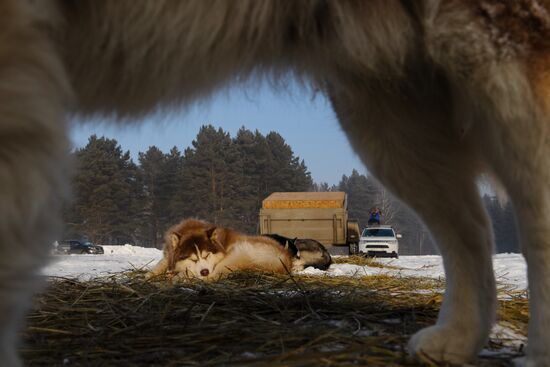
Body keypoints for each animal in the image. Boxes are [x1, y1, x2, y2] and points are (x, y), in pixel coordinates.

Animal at [148, 218, 302, 282]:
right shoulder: (168, 255)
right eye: (193, 258)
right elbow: (161, 264)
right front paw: (151, 274)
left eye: (207, 255)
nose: (205, 271)